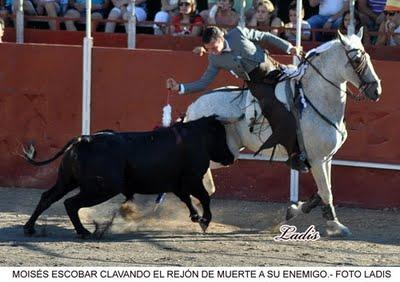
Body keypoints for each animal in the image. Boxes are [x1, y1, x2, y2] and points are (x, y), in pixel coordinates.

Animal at [22, 115, 234, 237]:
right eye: (220, 135)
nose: (231, 157)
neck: (197, 137)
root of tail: (83, 139)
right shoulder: (193, 180)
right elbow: (204, 197)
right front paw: (205, 221)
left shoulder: (178, 185)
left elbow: (189, 200)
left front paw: (196, 217)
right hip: (102, 189)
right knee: (70, 203)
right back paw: (84, 232)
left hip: (67, 181)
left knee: (47, 197)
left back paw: (29, 228)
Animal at [184, 29, 382, 237]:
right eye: (357, 60)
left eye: (368, 56)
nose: (376, 90)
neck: (316, 98)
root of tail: (193, 106)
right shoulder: (317, 159)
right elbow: (326, 192)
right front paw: (335, 225)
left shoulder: (326, 158)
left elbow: (324, 190)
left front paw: (298, 211)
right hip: (222, 155)